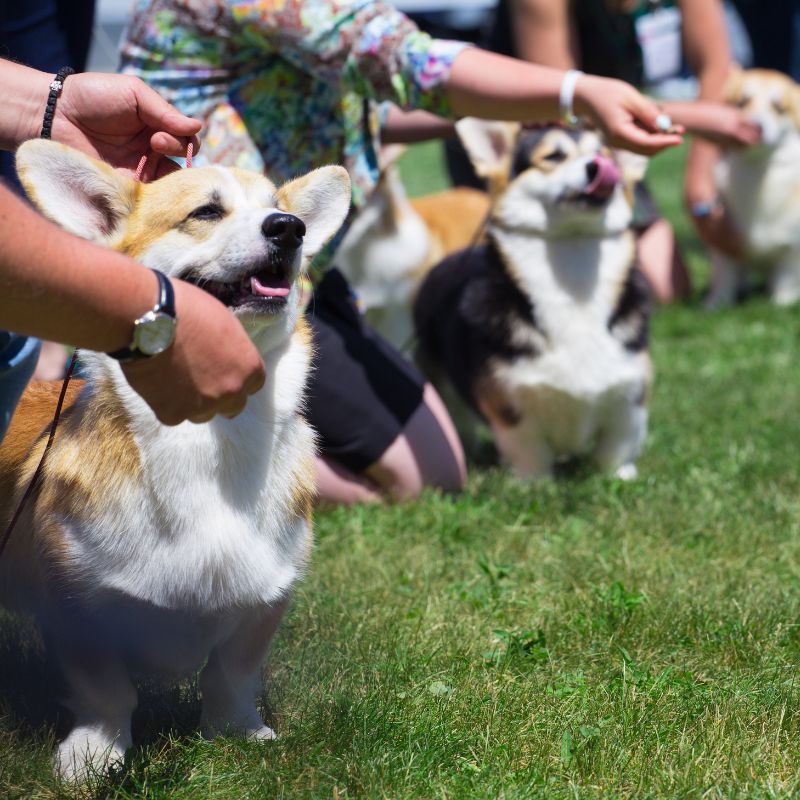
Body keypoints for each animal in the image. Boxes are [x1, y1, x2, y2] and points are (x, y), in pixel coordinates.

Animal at [0, 139, 350, 780]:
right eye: (206, 212)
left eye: (282, 209)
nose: (290, 227)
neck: (209, 432)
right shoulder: (75, 605)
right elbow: (105, 691)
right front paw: (93, 753)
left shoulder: (267, 598)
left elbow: (231, 677)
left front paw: (239, 733)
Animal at [412, 120, 648, 482]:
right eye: (553, 156)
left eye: (604, 154)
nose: (596, 167)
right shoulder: (510, 408)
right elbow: (530, 451)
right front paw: (534, 484)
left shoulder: (630, 396)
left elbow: (617, 446)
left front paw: (619, 477)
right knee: (460, 422)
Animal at [708, 69, 800, 306]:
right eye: (742, 102)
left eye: (778, 108)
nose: (756, 128)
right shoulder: (722, 235)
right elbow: (725, 274)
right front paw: (717, 303)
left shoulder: (792, 246)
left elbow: (786, 277)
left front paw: (781, 302)